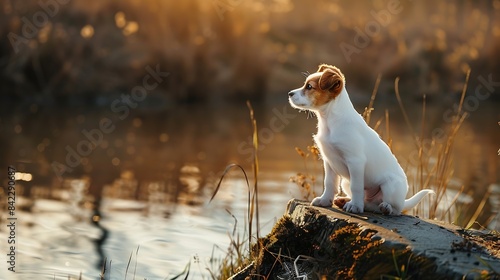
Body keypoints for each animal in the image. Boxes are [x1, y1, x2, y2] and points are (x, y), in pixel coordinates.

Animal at [290, 64, 434, 215]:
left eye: (309, 87)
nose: (289, 94)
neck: (330, 121)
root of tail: (403, 200)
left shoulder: (355, 161)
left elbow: (356, 187)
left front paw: (355, 206)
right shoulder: (329, 161)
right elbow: (329, 183)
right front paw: (325, 200)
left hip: (390, 186)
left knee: (393, 208)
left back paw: (385, 207)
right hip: (345, 182)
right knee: (368, 203)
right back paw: (345, 201)